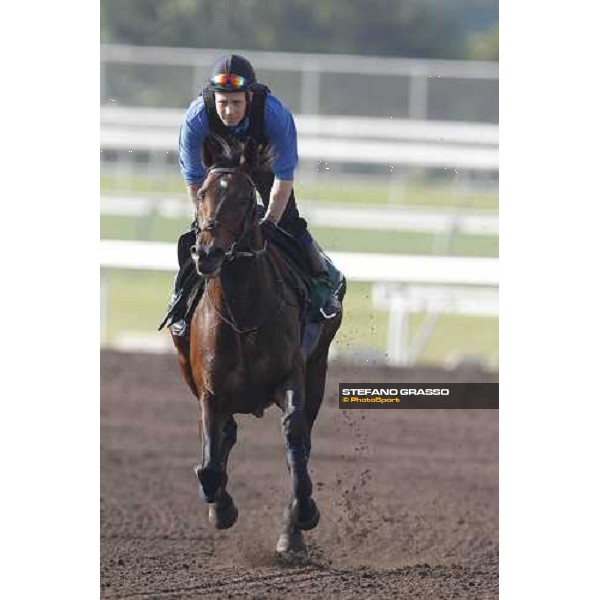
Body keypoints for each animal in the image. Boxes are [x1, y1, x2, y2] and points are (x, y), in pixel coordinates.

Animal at [171, 135, 344, 556]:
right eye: (203, 193)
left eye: (244, 199)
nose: (208, 253)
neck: (243, 314)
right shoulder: (210, 392)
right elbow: (209, 463)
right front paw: (222, 509)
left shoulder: (291, 376)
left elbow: (295, 437)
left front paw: (303, 514)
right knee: (225, 437)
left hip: (318, 370)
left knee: (302, 438)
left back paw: (292, 533)